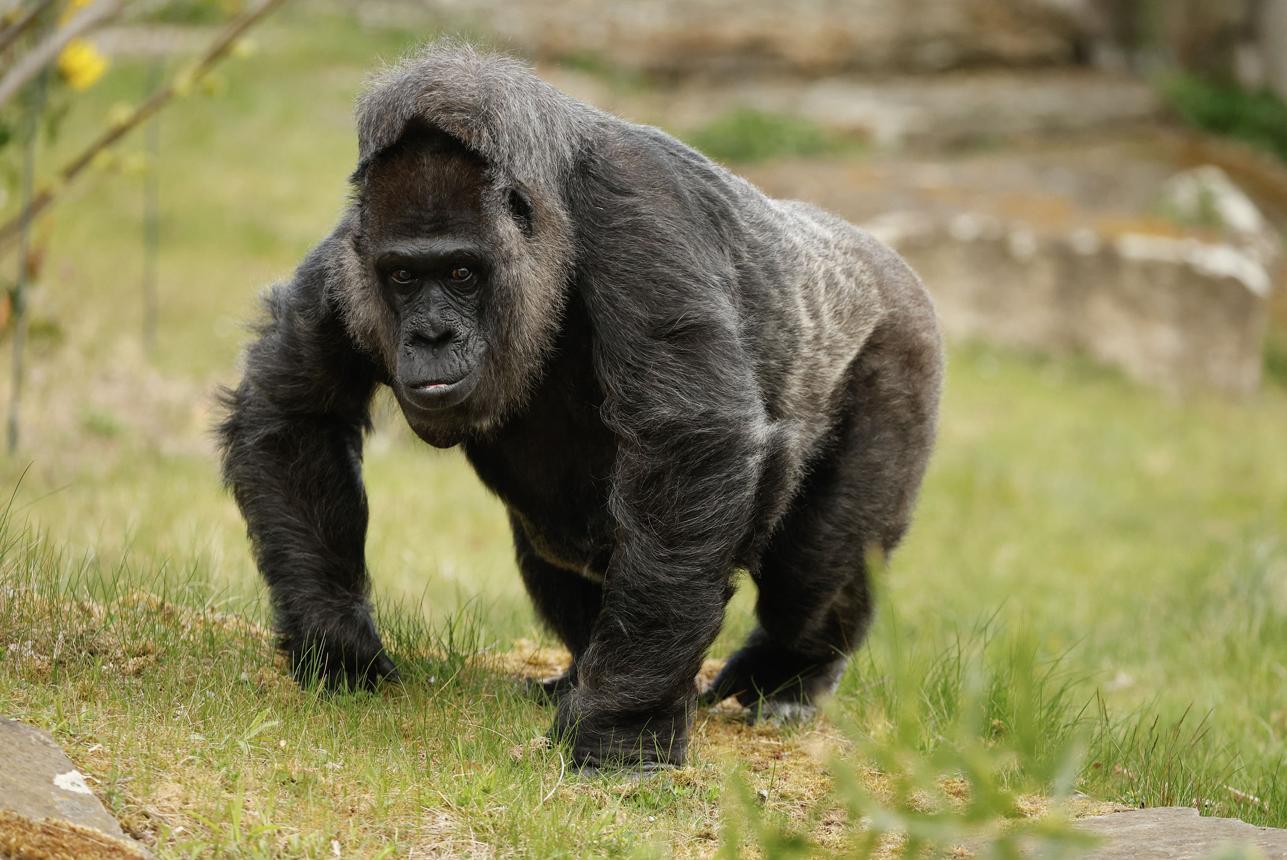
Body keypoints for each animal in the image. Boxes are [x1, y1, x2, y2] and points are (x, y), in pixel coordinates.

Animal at [218, 43, 943, 769]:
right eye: (402, 275)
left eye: (460, 273)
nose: (431, 337)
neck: (552, 200)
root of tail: (883, 256)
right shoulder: (350, 254)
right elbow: (296, 413)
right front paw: (337, 643)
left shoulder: (635, 209)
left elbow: (688, 443)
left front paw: (622, 732)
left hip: (901, 343)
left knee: (814, 569)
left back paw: (790, 676)